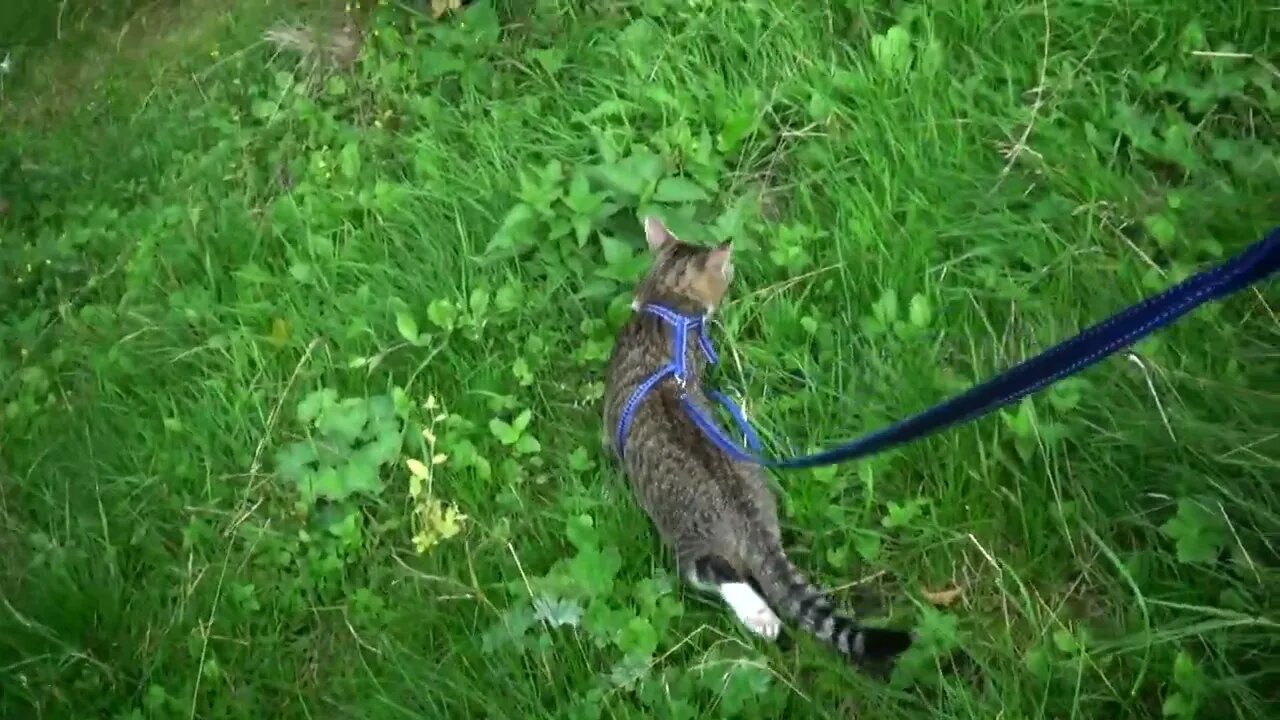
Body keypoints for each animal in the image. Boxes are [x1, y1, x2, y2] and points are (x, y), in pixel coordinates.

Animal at [599, 215, 911, 666]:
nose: (734, 272)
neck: (668, 311)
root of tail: (753, 527)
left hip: (690, 542)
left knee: (714, 575)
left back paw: (759, 616)